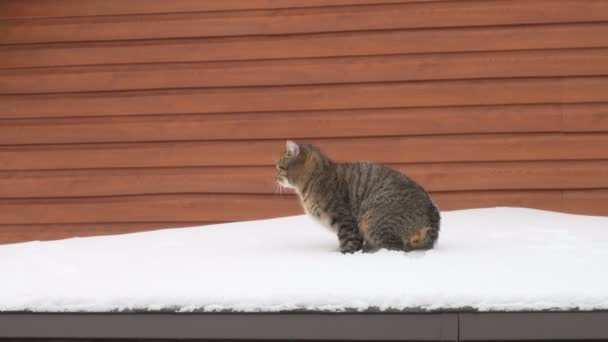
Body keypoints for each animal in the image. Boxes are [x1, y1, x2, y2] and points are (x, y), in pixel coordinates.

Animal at [276, 140, 442, 254]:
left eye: (279, 167)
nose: (275, 176)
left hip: (371, 218)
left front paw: (343, 254)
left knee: (394, 247)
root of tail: (432, 211)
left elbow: (349, 244)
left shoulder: (346, 221)